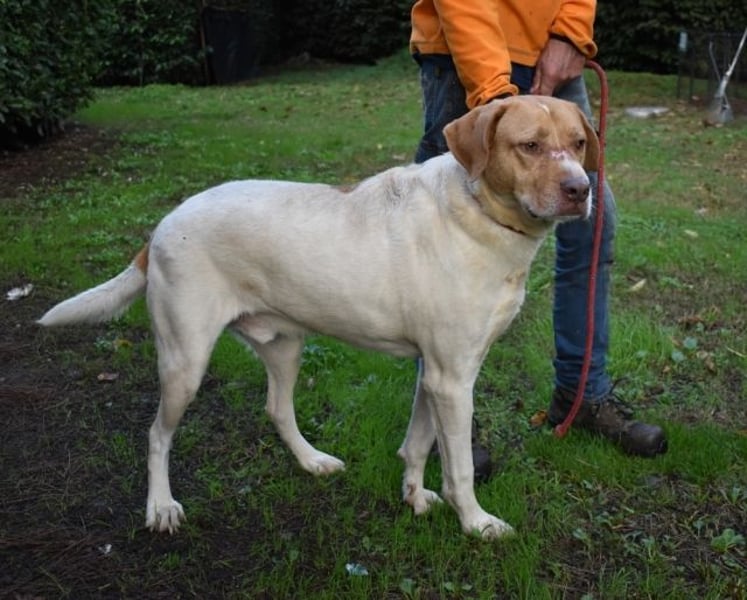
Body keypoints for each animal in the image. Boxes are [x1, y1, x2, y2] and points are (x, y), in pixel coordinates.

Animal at [39, 96, 598, 539]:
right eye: (529, 145)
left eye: (578, 143)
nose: (581, 189)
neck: (479, 212)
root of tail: (162, 224)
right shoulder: (453, 379)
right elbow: (458, 467)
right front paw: (476, 524)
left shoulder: (437, 375)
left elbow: (418, 443)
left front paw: (414, 497)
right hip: (184, 362)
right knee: (157, 434)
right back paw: (160, 507)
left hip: (284, 346)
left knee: (276, 408)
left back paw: (312, 461)